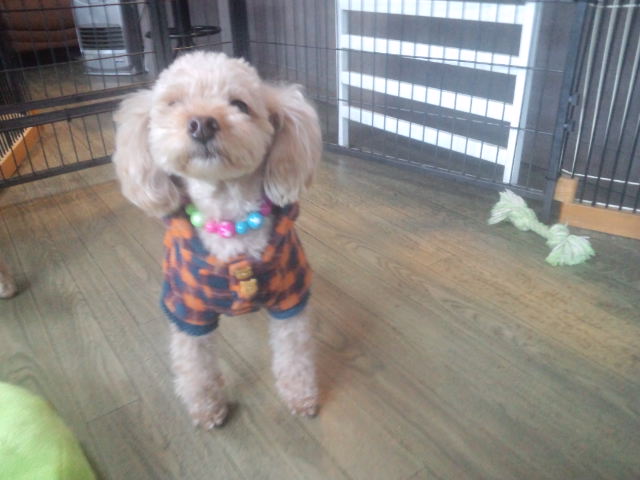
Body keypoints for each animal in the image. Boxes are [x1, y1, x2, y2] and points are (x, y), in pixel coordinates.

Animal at [112, 51, 322, 429]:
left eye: (239, 104)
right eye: (174, 103)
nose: (202, 123)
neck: (229, 220)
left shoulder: (291, 297)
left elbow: (295, 355)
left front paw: (301, 396)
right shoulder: (188, 311)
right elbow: (195, 368)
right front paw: (207, 409)